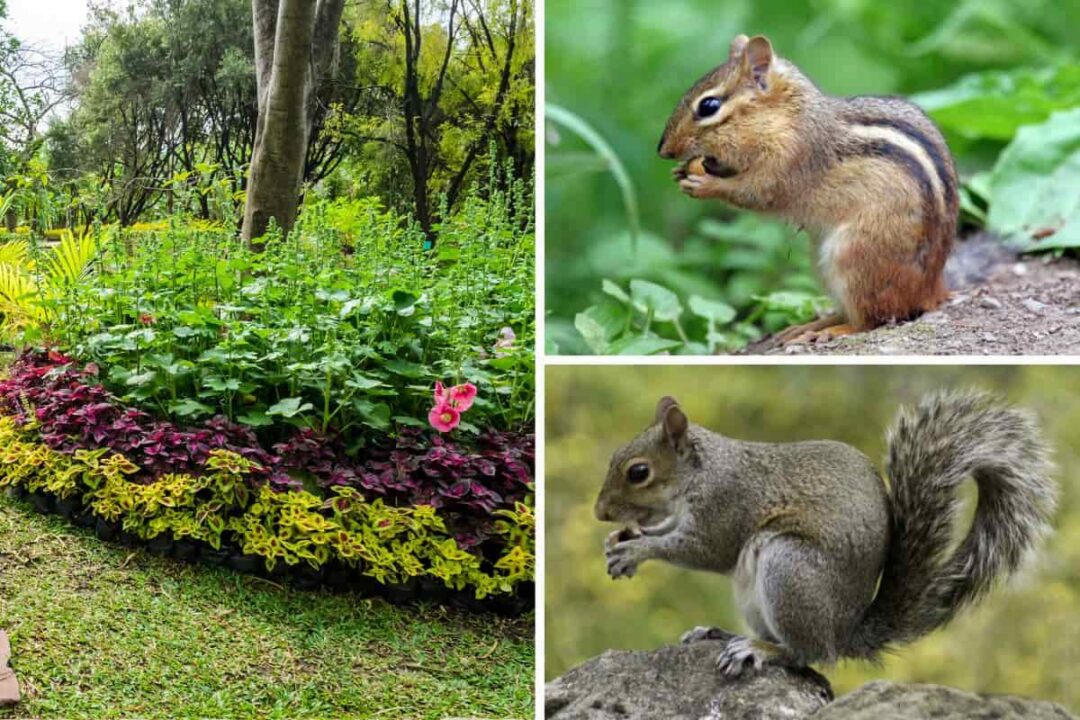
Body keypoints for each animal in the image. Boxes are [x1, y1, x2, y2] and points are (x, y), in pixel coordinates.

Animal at [594, 392, 1055, 675]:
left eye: (638, 472)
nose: (600, 513)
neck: (701, 472)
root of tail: (844, 632)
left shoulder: (727, 505)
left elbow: (704, 549)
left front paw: (635, 551)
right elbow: (669, 529)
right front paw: (621, 539)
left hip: (789, 569)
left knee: (807, 654)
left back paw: (760, 649)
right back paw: (721, 634)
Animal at [658, 34, 959, 345]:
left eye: (709, 106)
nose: (664, 150)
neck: (787, 116)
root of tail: (929, 290)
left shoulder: (787, 163)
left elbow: (755, 193)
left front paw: (705, 185)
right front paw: (681, 171)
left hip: (854, 258)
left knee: (871, 319)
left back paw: (832, 330)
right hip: (821, 262)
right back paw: (808, 326)